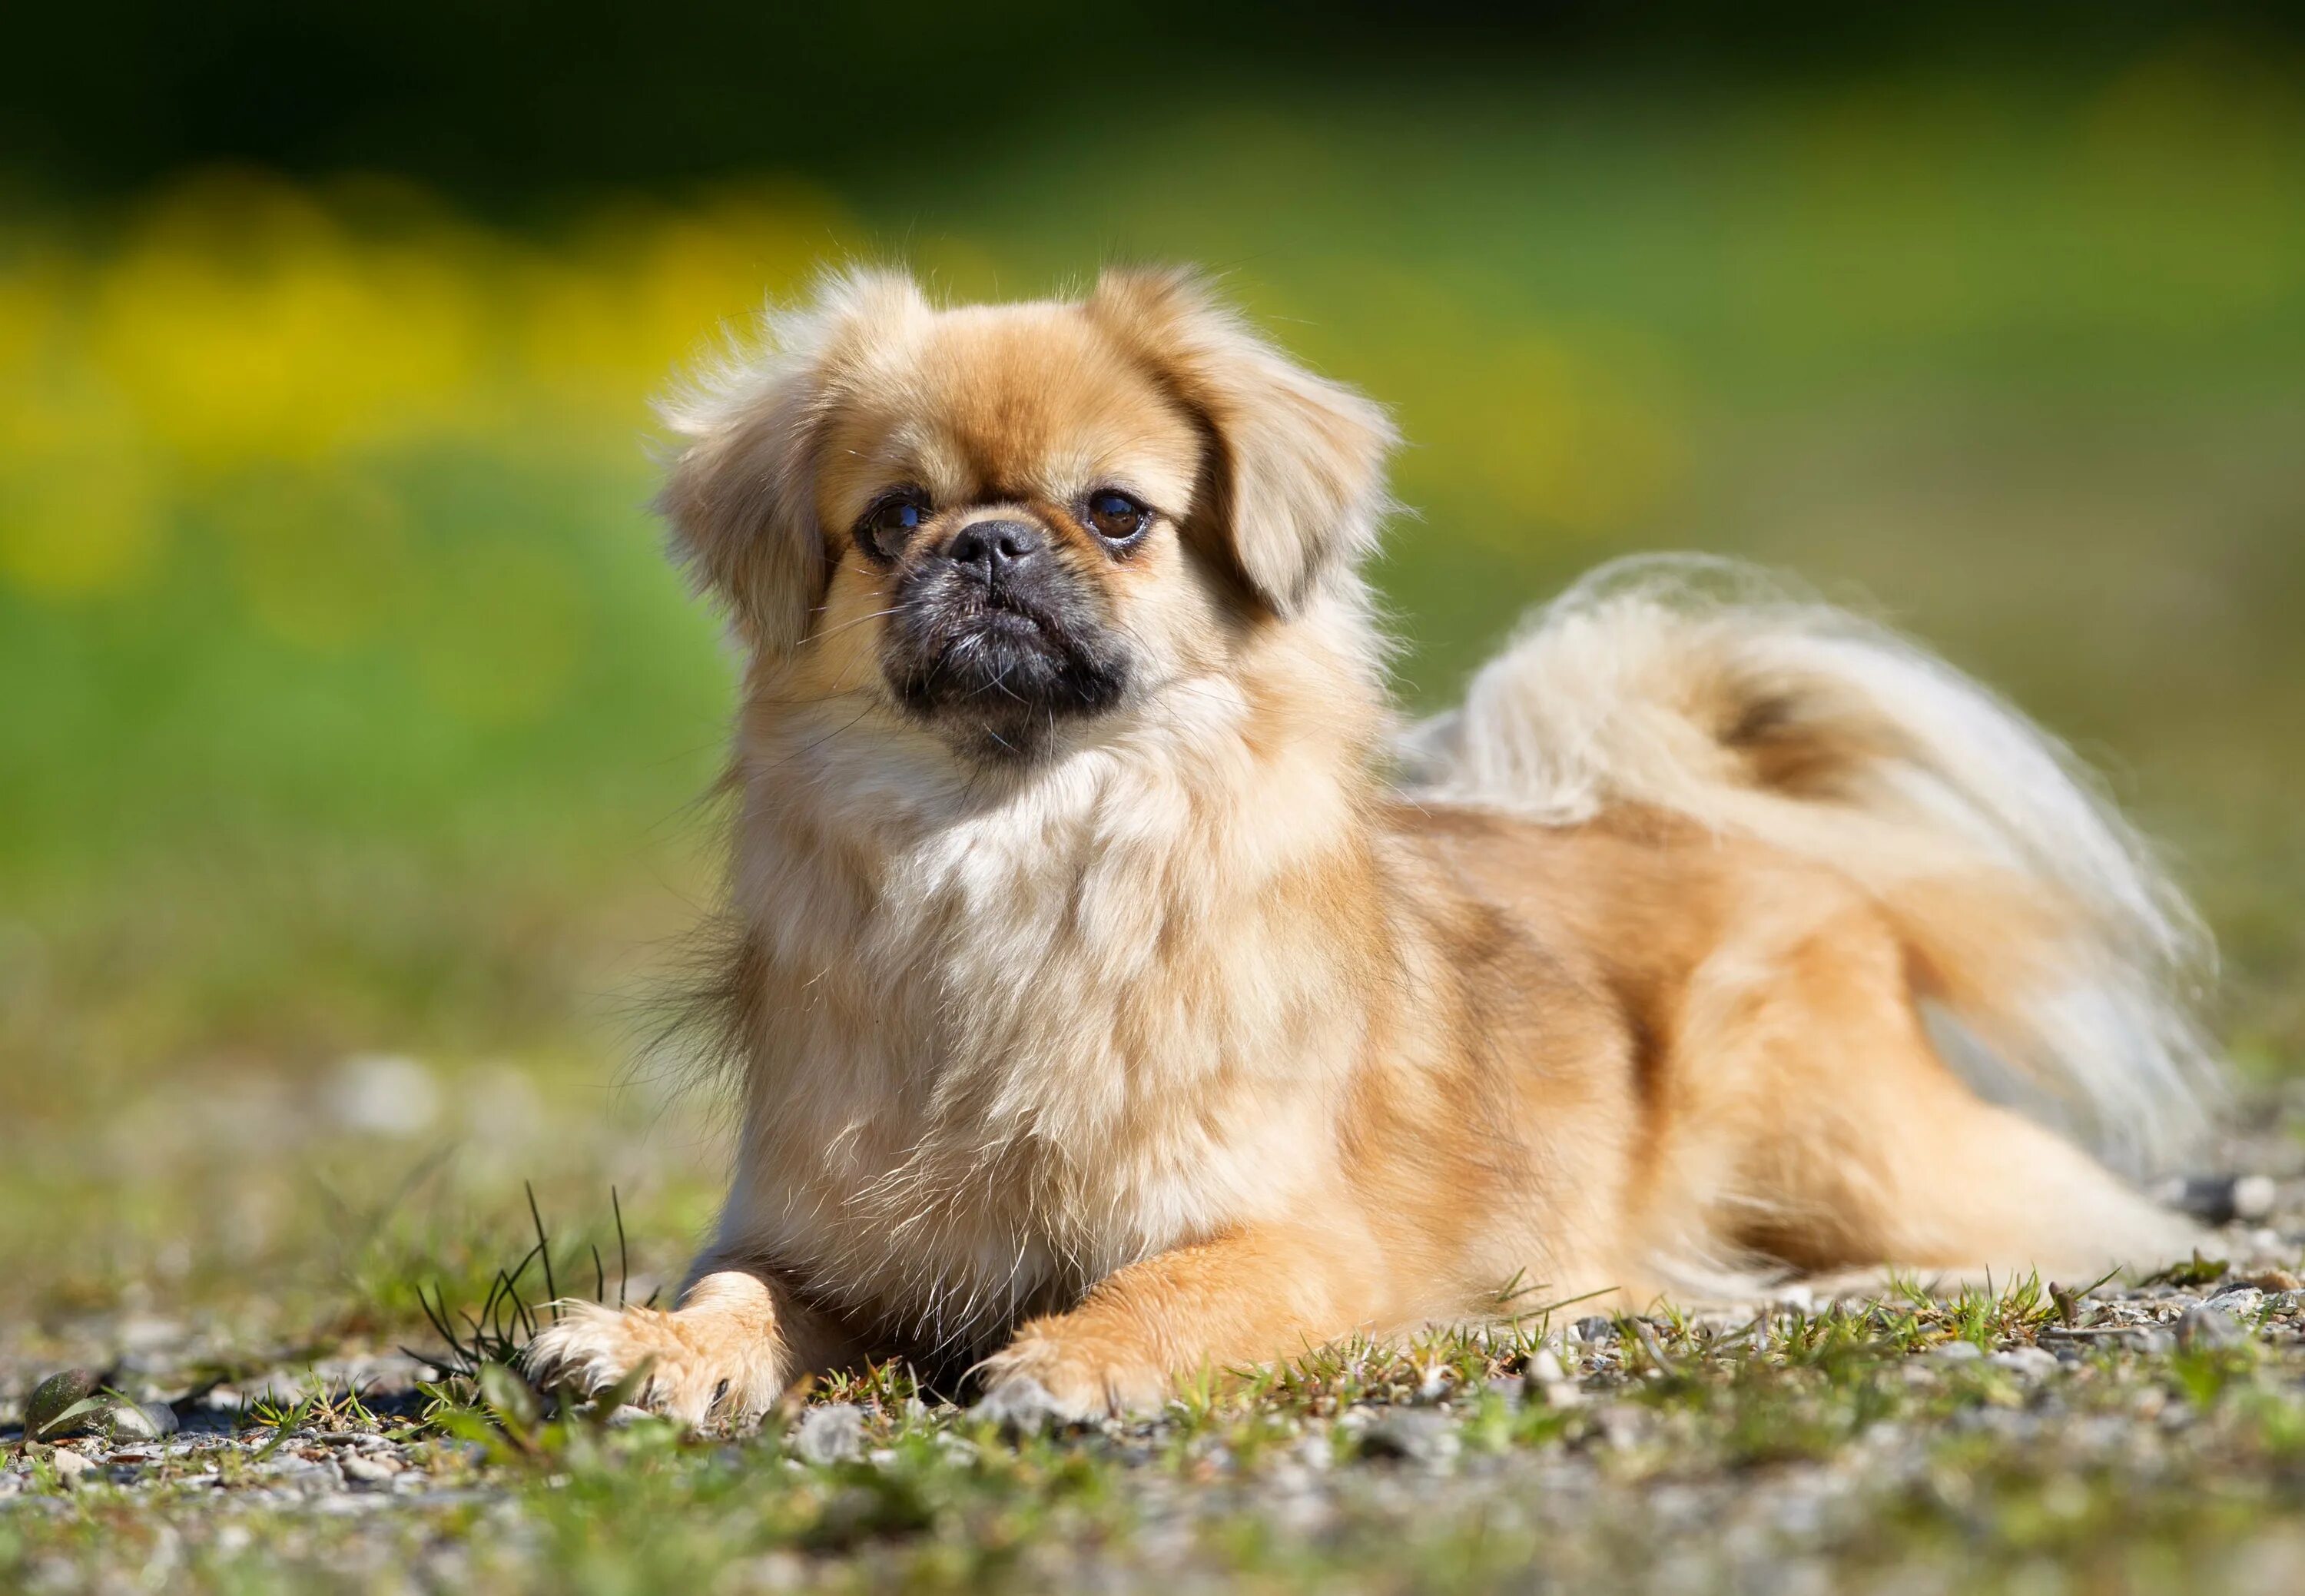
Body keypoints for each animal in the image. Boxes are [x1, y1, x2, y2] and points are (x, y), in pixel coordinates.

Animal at [528, 267, 2213, 1429]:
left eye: (1115, 514)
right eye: (892, 522)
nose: (991, 543)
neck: (1017, 851)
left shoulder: (1290, 1234)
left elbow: (1175, 1279)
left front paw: (1076, 1359)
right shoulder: (814, 1239)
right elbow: (737, 1292)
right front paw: (642, 1345)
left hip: (1838, 1148)